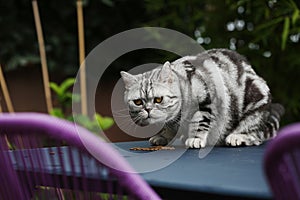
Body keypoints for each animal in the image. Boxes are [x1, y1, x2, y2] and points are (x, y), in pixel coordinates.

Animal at [119, 48, 284, 148]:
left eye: (158, 100)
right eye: (138, 102)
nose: (147, 109)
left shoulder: (207, 102)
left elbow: (200, 121)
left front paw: (196, 139)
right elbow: (169, 128)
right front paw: (162, 136)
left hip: (256, 99)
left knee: (254, 133)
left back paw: (237, 136)